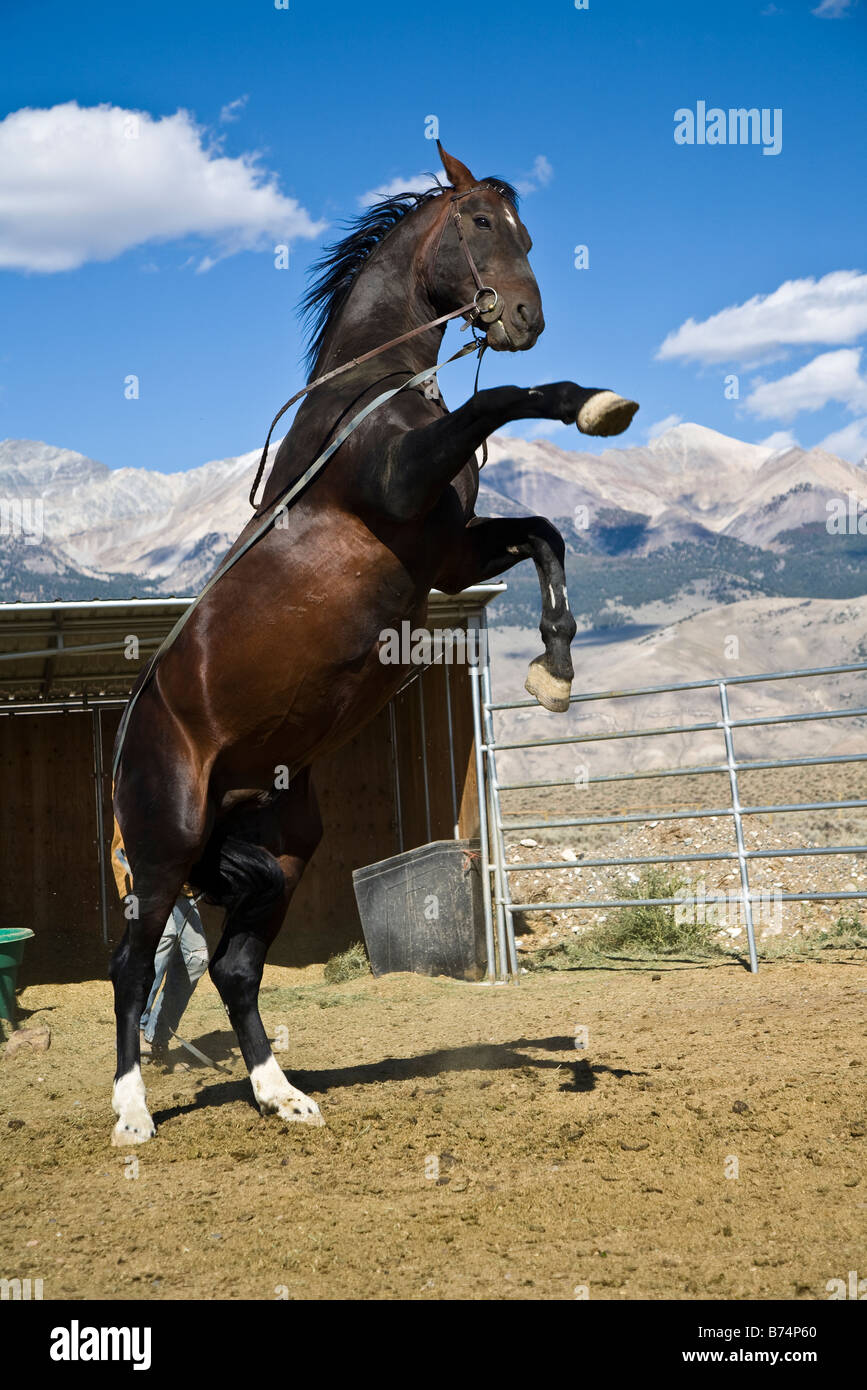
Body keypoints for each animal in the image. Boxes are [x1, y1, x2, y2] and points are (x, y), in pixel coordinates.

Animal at [108, 141, 636, 1145]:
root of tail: (130, 737)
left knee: (235, 969)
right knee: (130, 964)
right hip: (162, 849)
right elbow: (507, 400)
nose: (525, 318)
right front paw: (595, 404)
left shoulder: (448, 549)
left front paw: (553, 669)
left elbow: (544, 534)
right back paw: (130, 1116)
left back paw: (280, 1094)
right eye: (480, 223)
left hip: (276, 852)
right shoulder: (405, 485)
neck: (371, 397)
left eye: (527, 232)